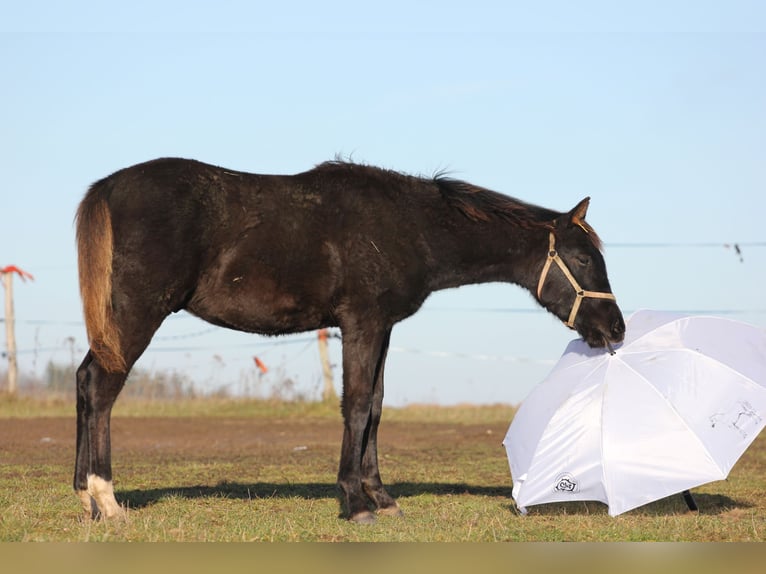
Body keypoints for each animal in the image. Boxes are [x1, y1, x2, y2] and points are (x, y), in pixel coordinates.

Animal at [72, 156, 628, 520]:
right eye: (583, 259)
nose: (616, 328)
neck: (409, 225)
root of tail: (108, 186)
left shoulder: (382, 327)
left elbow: (377, 406)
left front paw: (380, 495)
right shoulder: (362, 322)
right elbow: (357, 404)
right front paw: (357, 502)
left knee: (83, 381)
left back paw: (83, 495)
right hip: (137, 316)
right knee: (102, 387)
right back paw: (106, 500)